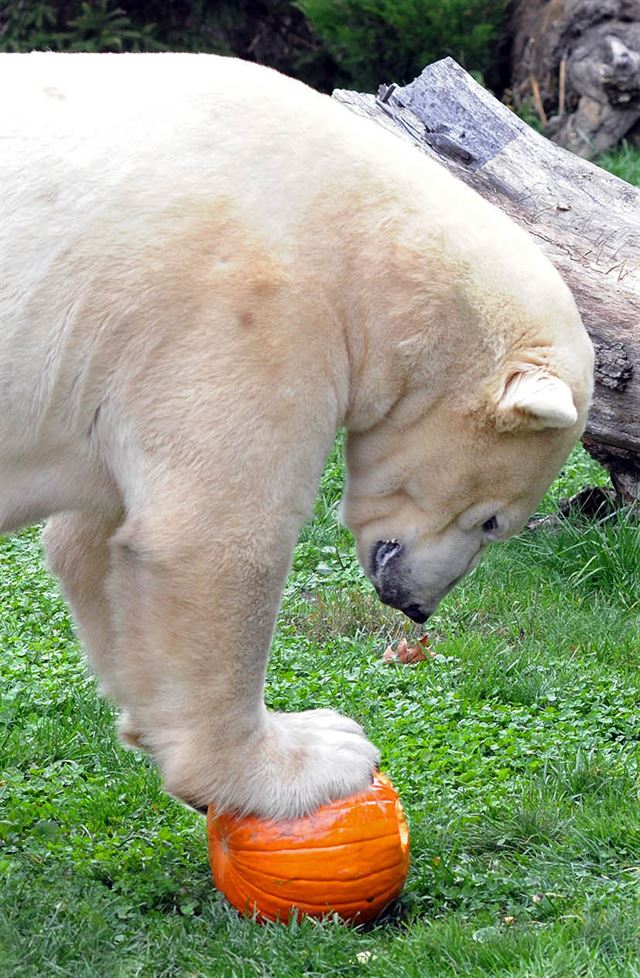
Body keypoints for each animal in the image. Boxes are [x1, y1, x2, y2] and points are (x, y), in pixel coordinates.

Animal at [0, 53, 592, 816]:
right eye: (493, 521)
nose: (417, 606)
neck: (369, 236)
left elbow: (94, 541)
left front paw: (152, 724)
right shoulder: (246, 309)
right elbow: (212, 539)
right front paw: (305, 757)